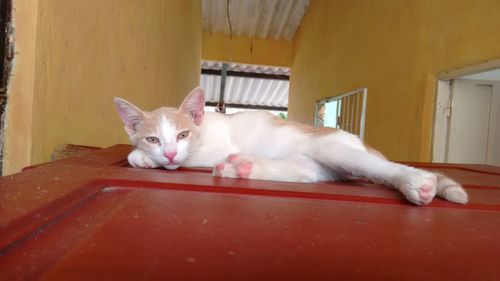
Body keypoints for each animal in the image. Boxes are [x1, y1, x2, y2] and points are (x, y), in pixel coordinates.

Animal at [114, 87, 468, 206]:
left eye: (183, 135)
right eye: (153, 138)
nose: (168, 151)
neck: (206, 126)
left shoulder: (210, 148)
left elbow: (188, 161)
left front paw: (146, 159)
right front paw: (144, 157)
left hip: (333, 149)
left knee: (384, 168)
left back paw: (416, 182)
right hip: (319, 162)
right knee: (308, 172)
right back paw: (243, 167)